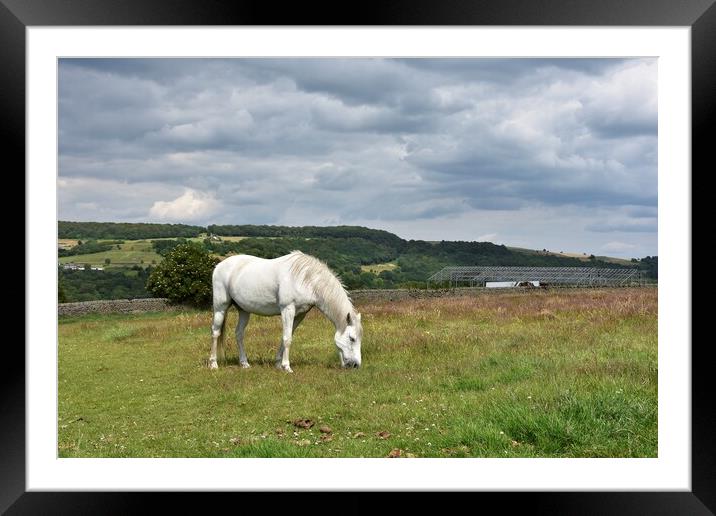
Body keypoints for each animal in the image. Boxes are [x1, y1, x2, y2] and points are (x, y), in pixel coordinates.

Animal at [210, 249, 360, 370]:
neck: (305, 279)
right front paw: (287, 367)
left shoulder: (300, 314)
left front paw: (278, 364)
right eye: (352, 338)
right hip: (220, 308)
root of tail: (219, 266)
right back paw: (213, 364)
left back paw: (244, 363)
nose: (355, 365)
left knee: (239, 334)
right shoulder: (288, 309)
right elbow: (287, 338)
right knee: (216, 332)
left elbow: (286, 337)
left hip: (243, 310)